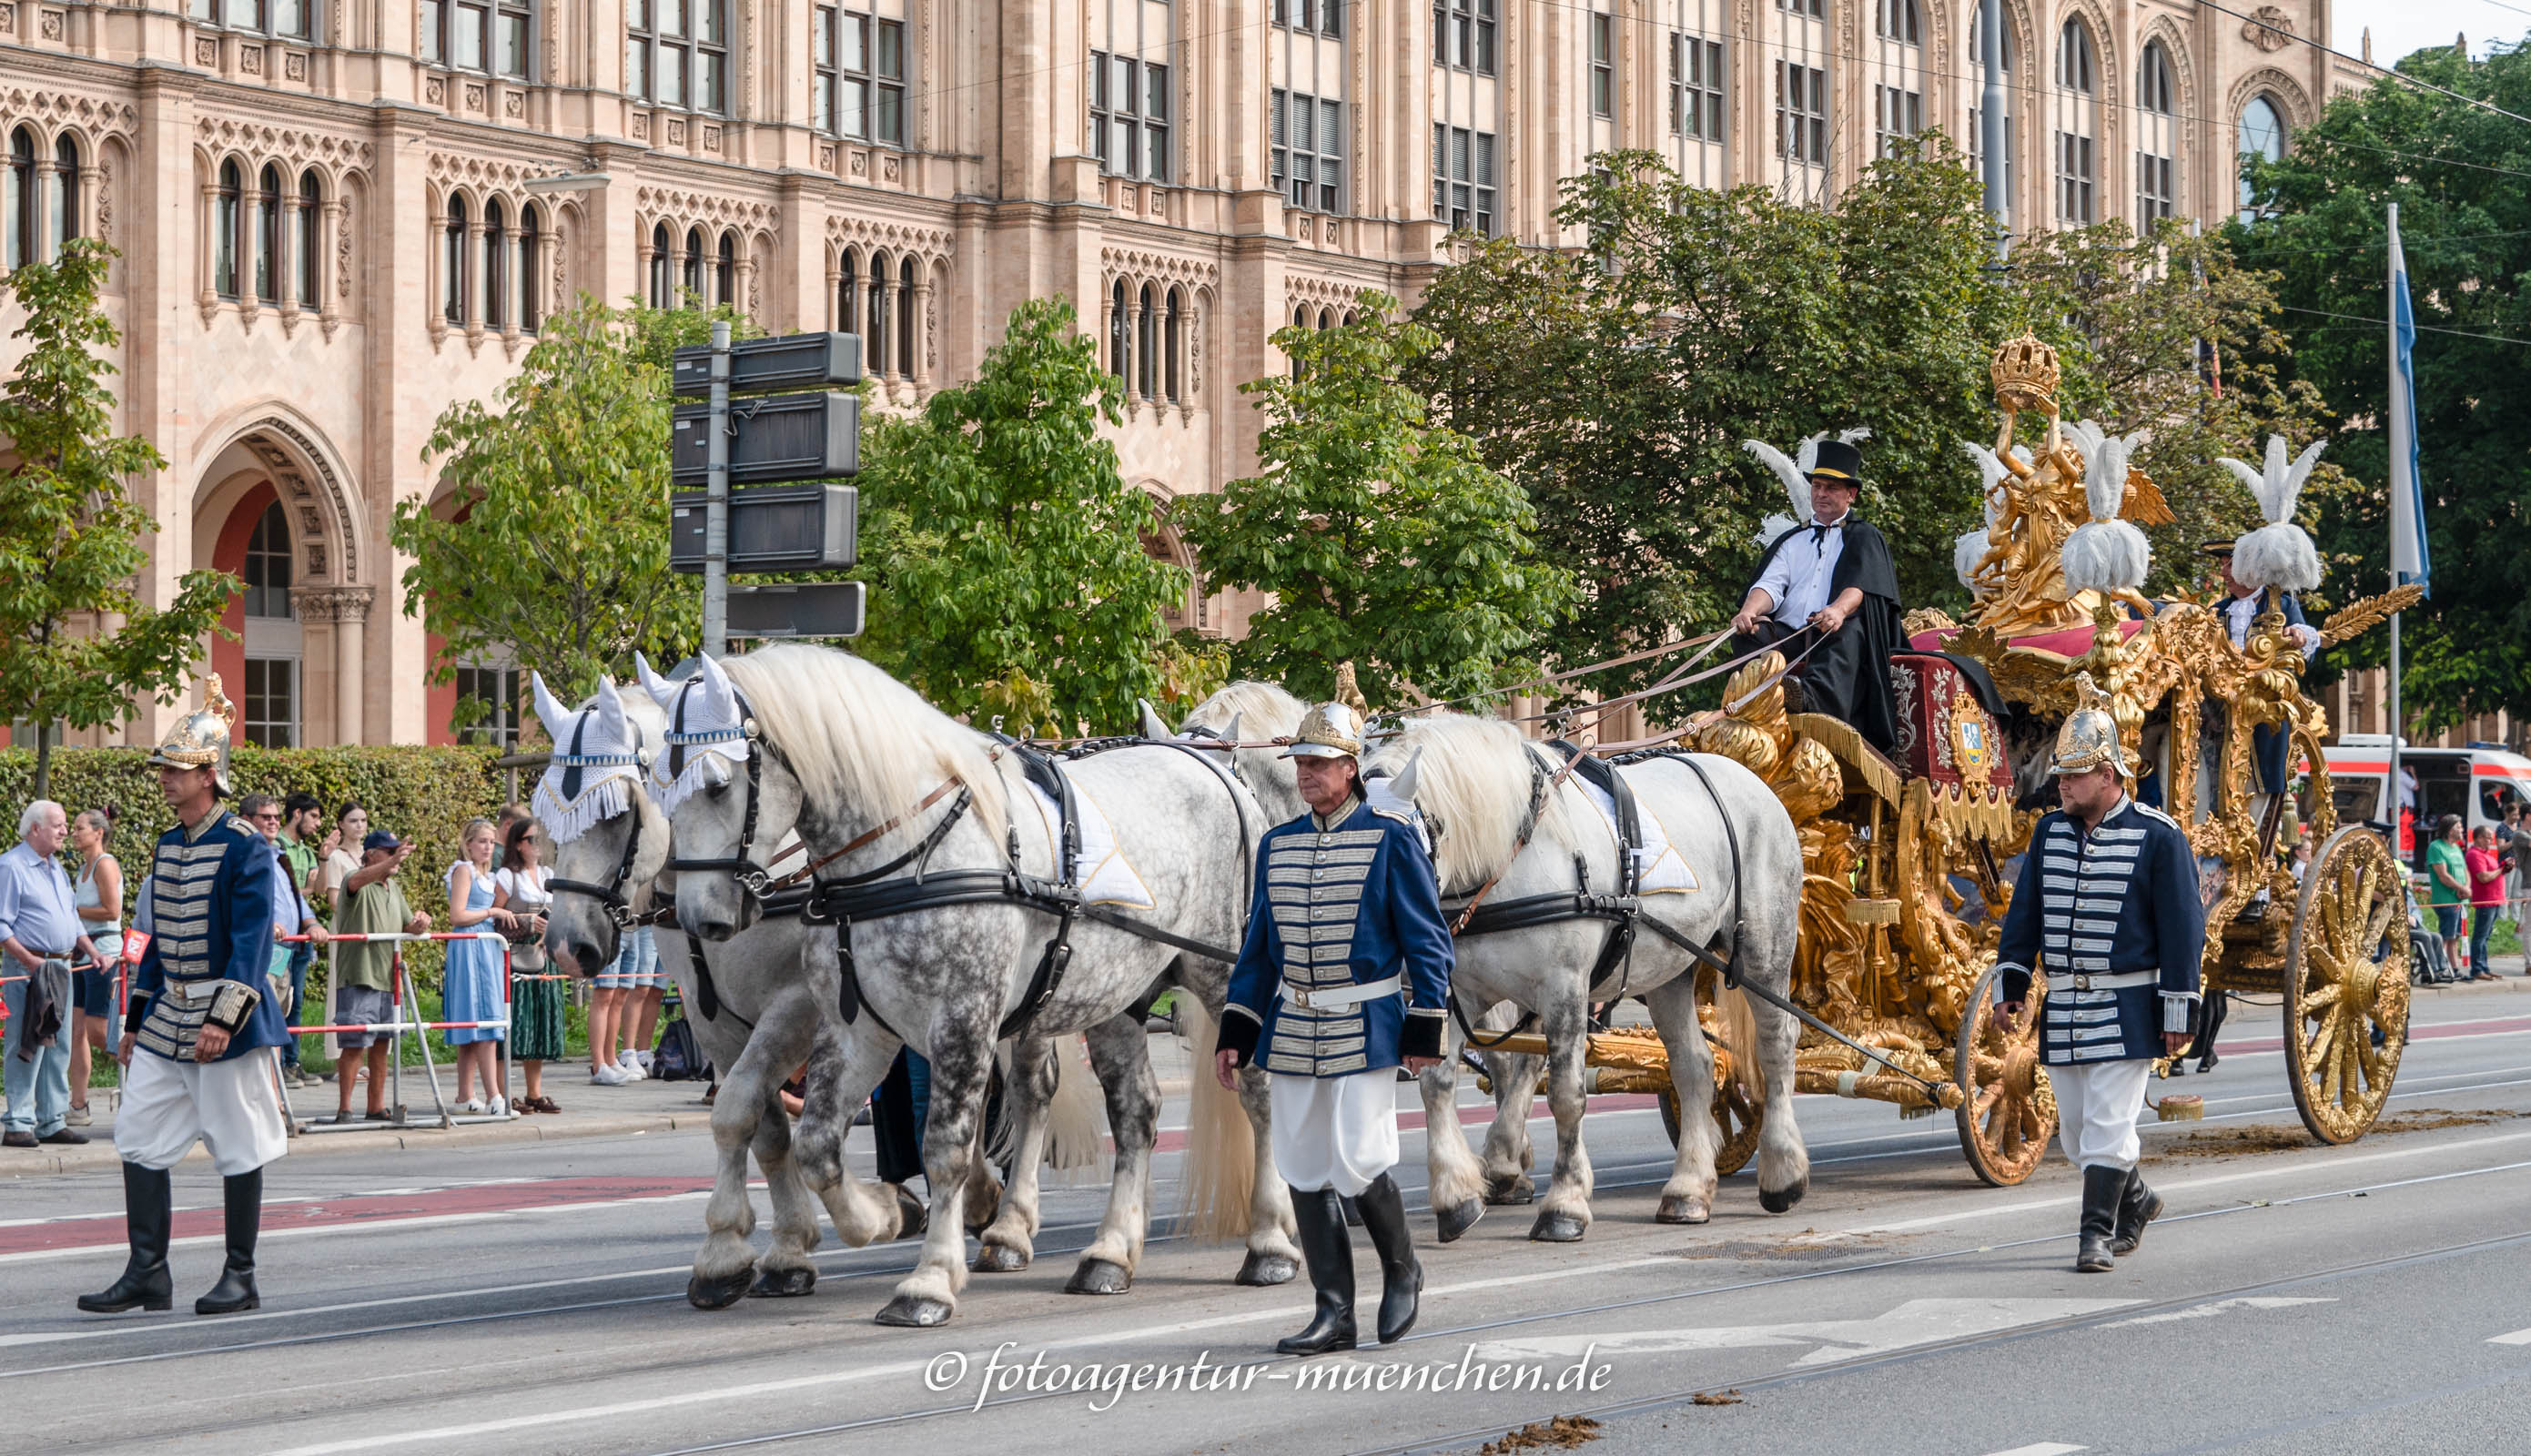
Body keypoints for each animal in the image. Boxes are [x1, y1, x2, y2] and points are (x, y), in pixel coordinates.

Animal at [653, 642, 1295, 1327]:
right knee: (1135, 1114)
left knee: (1257, 1093)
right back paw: (1110, 1252)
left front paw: (930, 1278)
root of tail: (1214, 768)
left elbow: (945, 1149)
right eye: (662, 787)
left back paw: (1269, 1240)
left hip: (1222, 976)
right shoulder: (857, 1029)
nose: (697, 917)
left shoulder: (963, 1021)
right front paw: (886, 1213)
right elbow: (818, 1146)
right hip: (1118, 999)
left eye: (717, 784)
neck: (910, 849)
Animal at [1366, 719, 1822, 1240]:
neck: (1508, 863)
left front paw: (1563, 1204)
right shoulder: (1458, 990)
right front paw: (1457, 1195)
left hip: (1765, 953)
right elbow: (1436, 1082)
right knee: (1695, 1066)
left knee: (1776, 1048)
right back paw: (1688, 1189)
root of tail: (1753, 782)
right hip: (1669, 970)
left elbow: (1565, 1097)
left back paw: (1783, 1172)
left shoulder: (1564, 988)